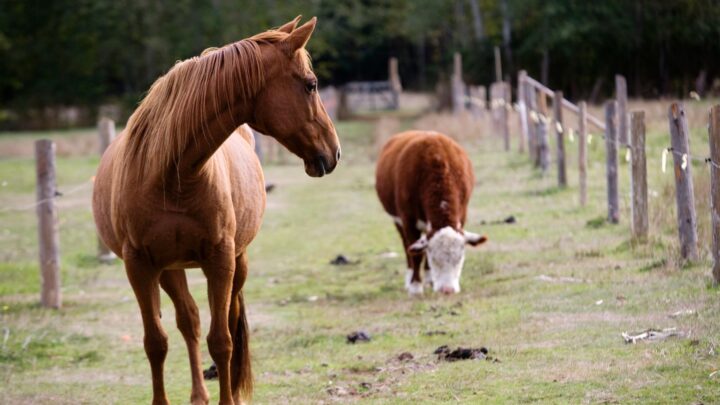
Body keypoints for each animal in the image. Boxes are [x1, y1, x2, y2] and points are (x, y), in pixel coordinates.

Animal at [91, 16, 338, 404]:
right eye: (311, 85)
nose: (334, 151)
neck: (171, 174)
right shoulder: (140, 266)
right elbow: (155, 342)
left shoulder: (220, 259)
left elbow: (222, 341)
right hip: (169, 269)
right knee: (188, 320)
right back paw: (198, 395)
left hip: (237, 262)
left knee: (227, 321)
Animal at [374, 131, 486, 296]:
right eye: (435, 259)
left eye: (460, 258)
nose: (447, 290)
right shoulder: (408, 220)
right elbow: (417, 254)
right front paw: (415, 286)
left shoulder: (462, 214)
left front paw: (429, 280)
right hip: (397, 221)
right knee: (406, 247)